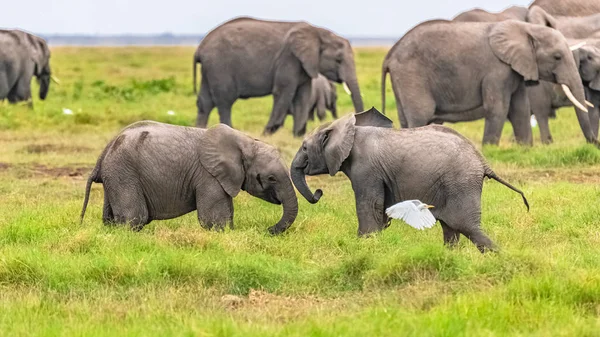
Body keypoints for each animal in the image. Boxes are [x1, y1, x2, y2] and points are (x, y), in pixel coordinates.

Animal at [79, 121, 300, 234]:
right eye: (271, 178)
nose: (268, 230)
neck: (245, 143)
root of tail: (104, 153)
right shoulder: (208, 176)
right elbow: (213, 219)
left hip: (115, 174)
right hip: (124, 173)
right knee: (134, 217)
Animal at [193, 17, 360, 136]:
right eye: (338, 60)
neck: (318, 32)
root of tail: (200, 47)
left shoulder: (304, 65)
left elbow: (303, 96)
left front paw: (298, 135)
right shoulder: (288, 58)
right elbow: (283, 92)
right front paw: (267, 133)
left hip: (209, 70)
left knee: (205, 102)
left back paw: (199, 131)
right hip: (220, 67)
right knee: (225, 101)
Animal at [290, 107, 528, 252]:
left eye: (304, 147)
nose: (319, 193)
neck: (350, 129)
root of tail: (482, 161)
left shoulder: (365, 169)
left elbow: (369, 204)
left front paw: (363, 244)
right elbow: (380, 208)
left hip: (461, 184)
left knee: (465, 226)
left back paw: (498, 256)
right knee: (451, 228)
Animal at [380, 18, 592, 144]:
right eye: (557, 57)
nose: (594, 144)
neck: (526, 28)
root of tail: (391, 53)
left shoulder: (516, 69)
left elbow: (520, 109)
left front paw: (525, 148)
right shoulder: (497, 70)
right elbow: (498, 108)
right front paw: (490, 148)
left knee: (406, 118)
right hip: (411, 74)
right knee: (420, 115)